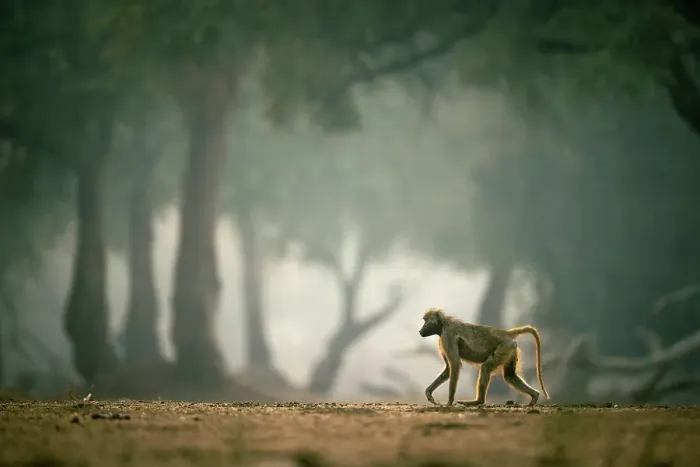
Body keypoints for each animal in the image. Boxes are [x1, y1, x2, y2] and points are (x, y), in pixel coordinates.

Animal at [418, 307, 549, 407]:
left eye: (425, 321)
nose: (420, 331)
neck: (443, 324)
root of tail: (506, 333)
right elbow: (448, 369)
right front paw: (429, 393)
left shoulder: (448, 335)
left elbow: (454, 364)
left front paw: (449, 402)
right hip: (511, 349)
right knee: (509, 375)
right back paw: (534, 396)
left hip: (504, 347)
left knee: (486, 367)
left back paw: (477, 401)